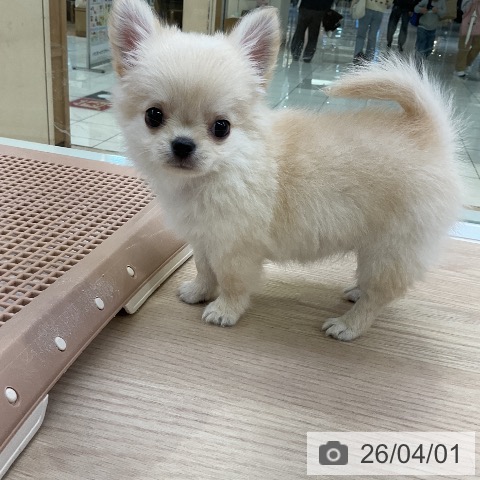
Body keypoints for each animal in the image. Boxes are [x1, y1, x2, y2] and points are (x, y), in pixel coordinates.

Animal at [109, 0, 462, 340]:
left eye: (221, 128)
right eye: (153, 116)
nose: (182, 145)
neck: (223, 170)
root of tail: (428, 133)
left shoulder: (234, 249)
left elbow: (232, 282)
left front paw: (224, 311)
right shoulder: (205, 239)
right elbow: (204, 269)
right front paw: (199, 292)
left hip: (390, 250)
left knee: (379, 296)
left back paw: (349, 325)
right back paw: (356, 293)